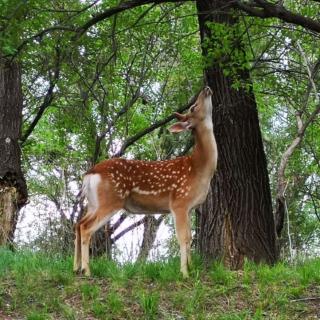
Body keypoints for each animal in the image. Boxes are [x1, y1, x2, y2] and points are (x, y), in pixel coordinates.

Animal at [74, 86, 218, 278]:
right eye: (193, 107)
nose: (206, 88)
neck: (199, 169)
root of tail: (89, 174)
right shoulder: (179, 201)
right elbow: (184, 237)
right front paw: (184, 273)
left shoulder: (189, 207)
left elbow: (189, 236)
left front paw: (191, 267)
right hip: (110, 200)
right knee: (86, 227)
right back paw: (86, 270)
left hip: (94, 202)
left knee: (78, 223)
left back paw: (75, 267)